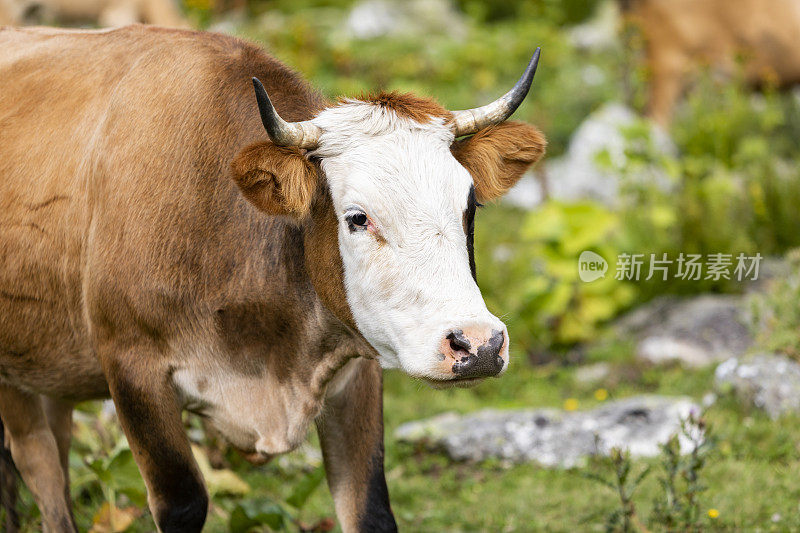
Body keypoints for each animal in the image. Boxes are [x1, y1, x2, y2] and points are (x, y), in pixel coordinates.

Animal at [0, 22, 544, 528]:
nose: (478, 344)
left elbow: (368, 510)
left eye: (470, 206)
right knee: (41, 468)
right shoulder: (133, 368)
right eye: (357, 217)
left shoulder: (358, 372)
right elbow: (182, 503)